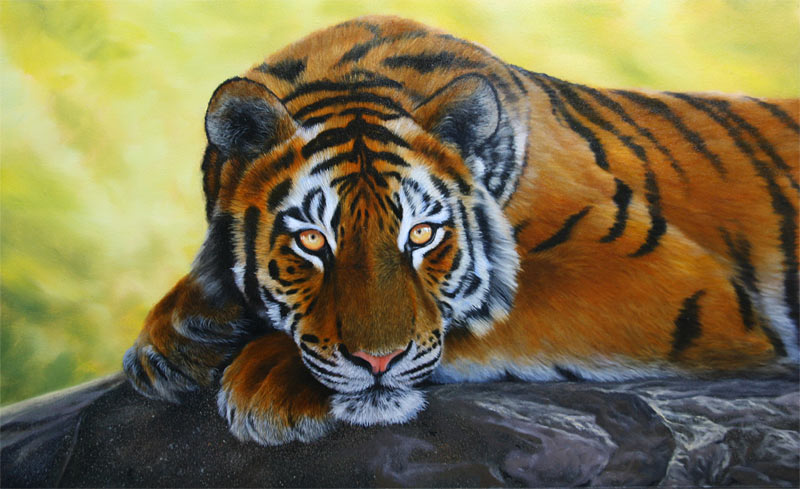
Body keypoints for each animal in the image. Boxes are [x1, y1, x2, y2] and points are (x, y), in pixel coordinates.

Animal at [123, 15, 800, 445]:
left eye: (422, 236)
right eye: (313, 240)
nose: (377, 362)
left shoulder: (666, 279)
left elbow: (484, 316)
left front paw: (269, 378)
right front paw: (174, 337)